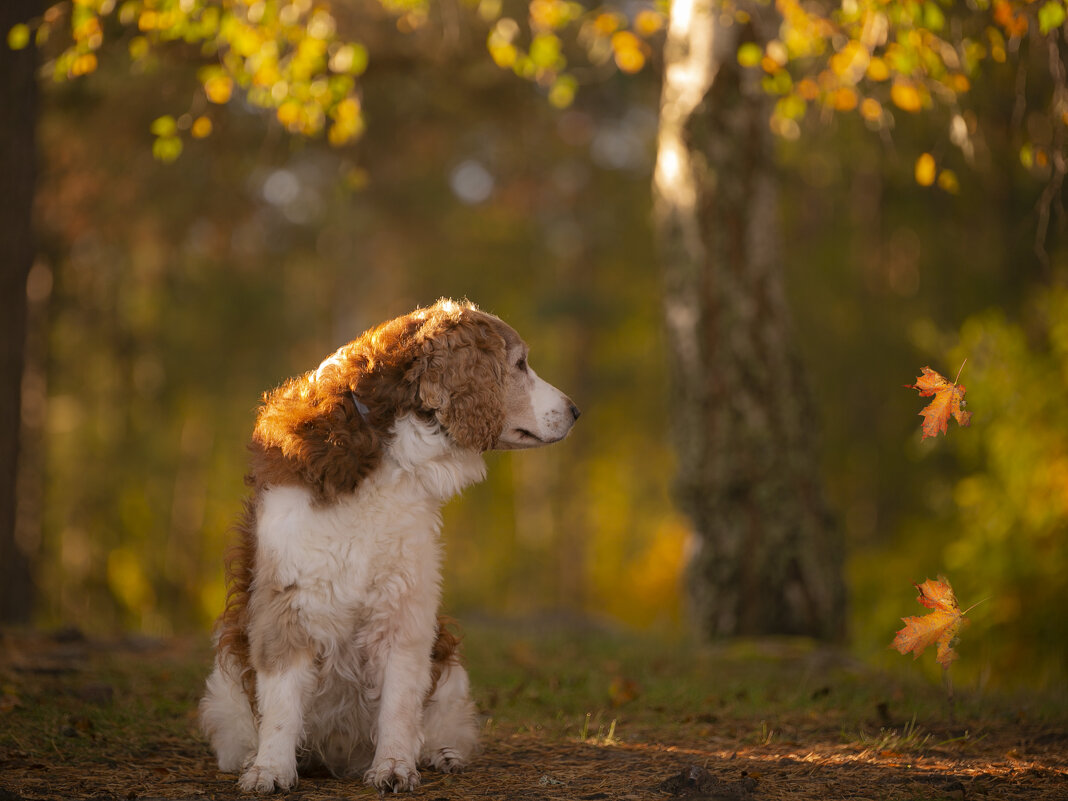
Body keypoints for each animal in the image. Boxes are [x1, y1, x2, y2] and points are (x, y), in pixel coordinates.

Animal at [200, 299, 585, 794]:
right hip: (224, 687)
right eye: (518, 364)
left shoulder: (404, 608)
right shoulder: (287, 601)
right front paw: (270, 769)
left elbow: (400, 703)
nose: (576, 410)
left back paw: (442, 754)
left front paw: (395, 766)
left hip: (450, 671)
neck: (390, 453)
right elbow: (282, 703)